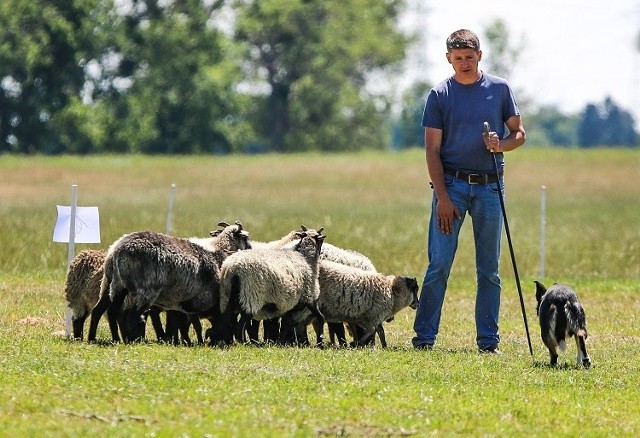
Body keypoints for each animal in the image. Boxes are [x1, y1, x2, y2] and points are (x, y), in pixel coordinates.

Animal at [87, 221, 250, 344]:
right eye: (246, 238)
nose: (251, 248)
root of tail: (117, 251)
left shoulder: (180, 305)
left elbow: (178, 324)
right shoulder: (190, 304)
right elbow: (187, 325)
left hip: (113, 285)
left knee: (103, 311)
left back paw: (99, 338)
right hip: (145, 290)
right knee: (131, 316)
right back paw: (129, 340)